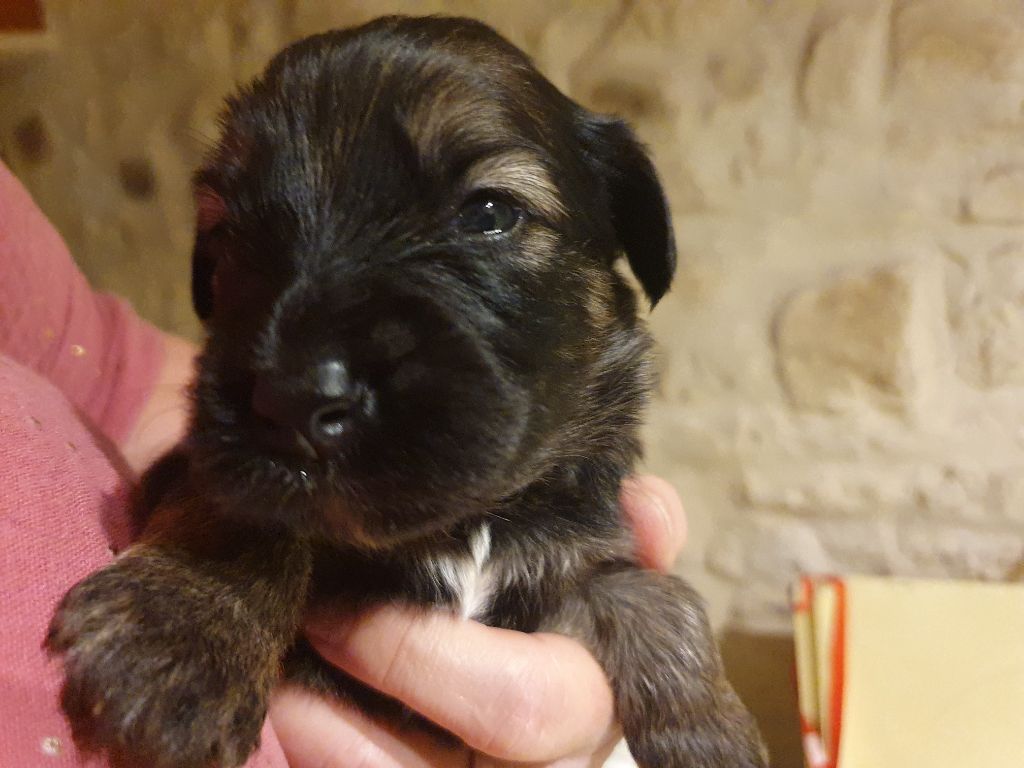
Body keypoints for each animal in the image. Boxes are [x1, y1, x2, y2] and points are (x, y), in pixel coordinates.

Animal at [48, 16, 770, 768]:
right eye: (230, 233)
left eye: (489, 212)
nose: (295, 398)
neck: (467, 524)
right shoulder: (208, 463)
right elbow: (241, 510)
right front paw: (175, 638)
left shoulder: (584, 551)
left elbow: (660, 595)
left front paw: (713, 732)